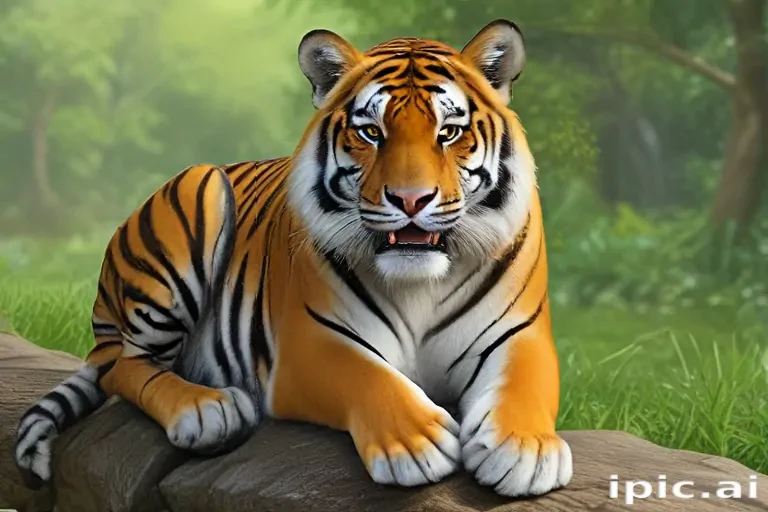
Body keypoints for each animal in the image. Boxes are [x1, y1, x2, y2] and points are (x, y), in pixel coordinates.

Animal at [14, 19, 573, 497]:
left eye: (449, 132)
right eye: (371, 133)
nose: (410, 200)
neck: (419, 282)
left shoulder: (519, 335)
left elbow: (522, 386)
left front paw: (525, 450)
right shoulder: (312, 343)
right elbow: (369, 377)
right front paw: (418, 442)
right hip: (198, 192)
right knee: (124, 365)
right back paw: (207, 408)